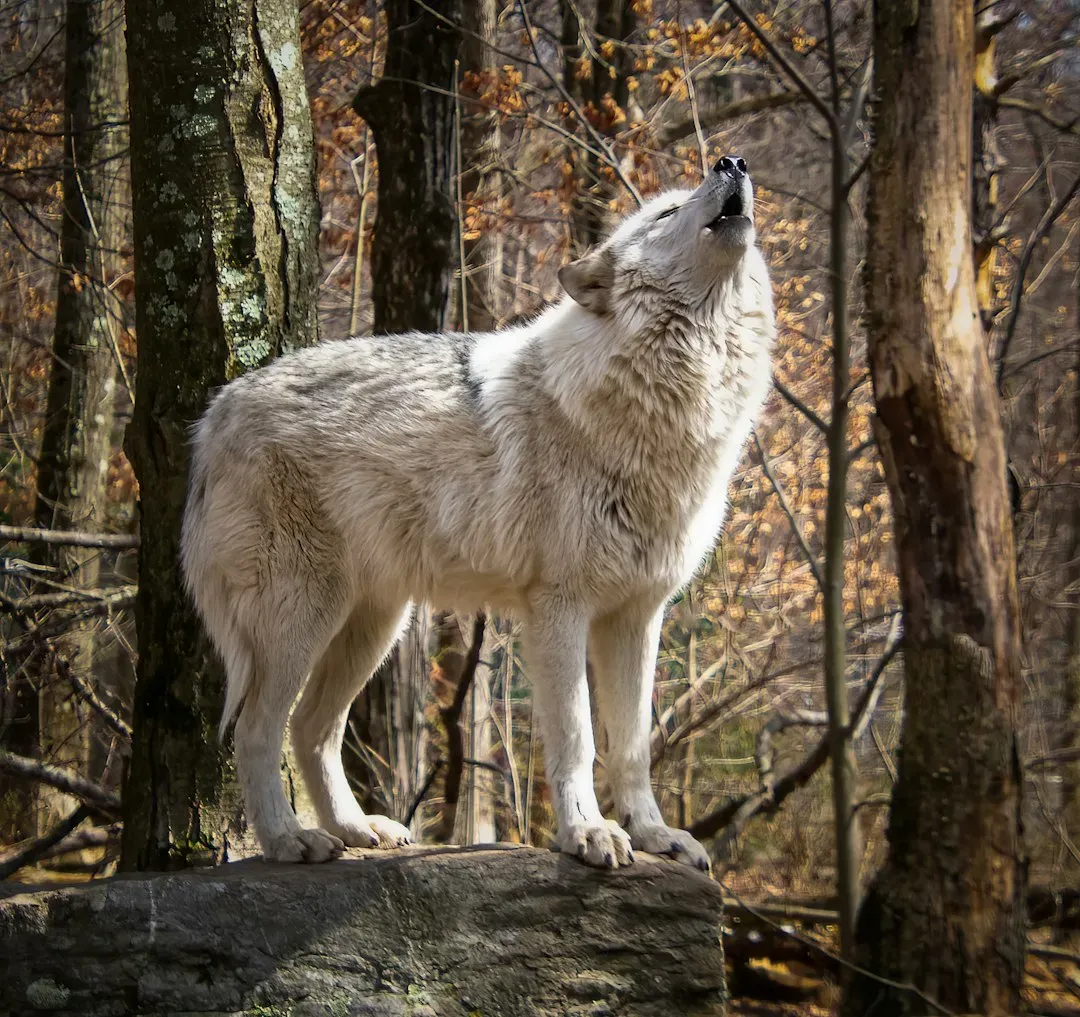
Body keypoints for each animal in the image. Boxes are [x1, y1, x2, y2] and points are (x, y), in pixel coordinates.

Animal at [180, 155, 774, 869]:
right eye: (668, 211)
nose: (732, 161)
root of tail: (213, 416)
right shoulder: (559, 607)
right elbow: (578, 739)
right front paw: (588, 834)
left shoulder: (637, 615)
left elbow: (632, 748)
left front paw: (657, 836)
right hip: (304, 617)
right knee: (256, 730)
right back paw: (289, 840)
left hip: (374, 626)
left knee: (311, 728)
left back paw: (357, 830)